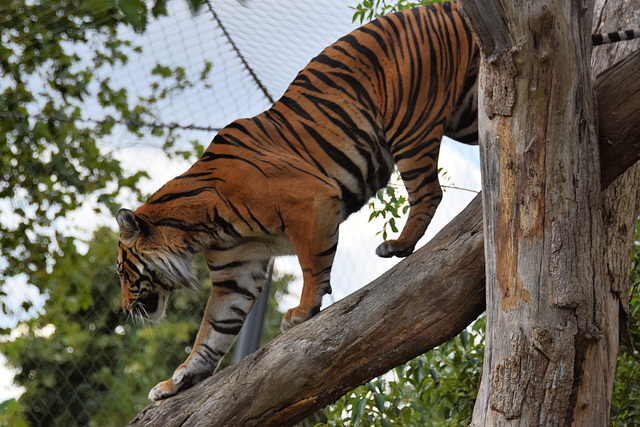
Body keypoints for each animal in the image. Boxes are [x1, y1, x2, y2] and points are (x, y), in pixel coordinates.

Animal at [114, 0, 636, 402]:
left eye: (123, 271)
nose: (122, 311)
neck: (198, 232)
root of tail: (446, 6)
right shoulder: (234, 273)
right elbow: (211, 332)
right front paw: (177, 382)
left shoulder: (310, 203)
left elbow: (311, 266)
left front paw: (303, 312)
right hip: (473, 108)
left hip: (410, 125)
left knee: (430, 191)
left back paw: (399, 246)